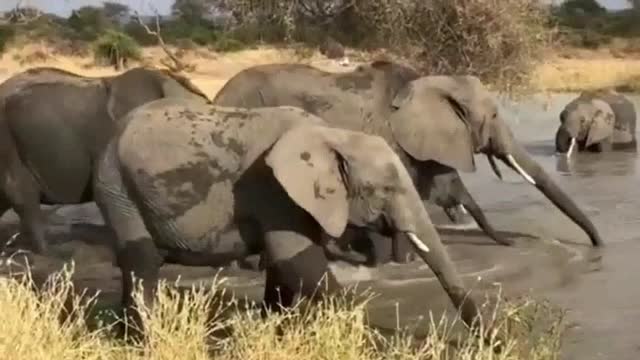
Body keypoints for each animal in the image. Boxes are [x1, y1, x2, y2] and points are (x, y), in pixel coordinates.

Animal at [92, 97, 488, 338]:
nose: (490, 339)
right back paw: (143, 338)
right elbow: (300, 262)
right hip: (117, 185)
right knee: (141, 261)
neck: (332, 136)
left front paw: (275, 330)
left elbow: (285, 268)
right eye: (386, 189)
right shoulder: (274, 191)